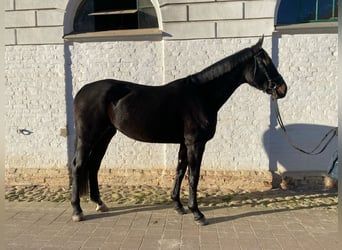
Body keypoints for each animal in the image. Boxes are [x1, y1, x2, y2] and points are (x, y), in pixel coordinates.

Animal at [71, 36, 288, 225]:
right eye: (265, 62)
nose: (282, 89)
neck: (202, 95)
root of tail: (82, 91)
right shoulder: (196, 143)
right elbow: (193, 176)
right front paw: (197, 213)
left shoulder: (185, 143)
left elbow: (180, 171)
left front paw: (178, 205)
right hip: (88, 137)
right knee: (78, 166)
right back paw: (77, 210)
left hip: (105, 135)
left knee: (93, 165)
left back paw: (99, 203)